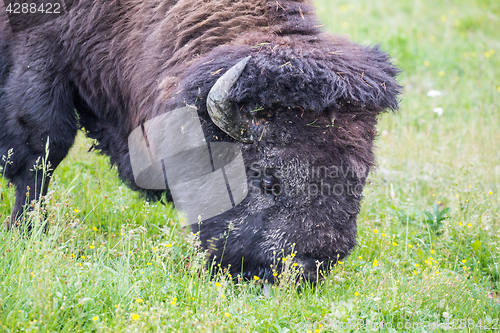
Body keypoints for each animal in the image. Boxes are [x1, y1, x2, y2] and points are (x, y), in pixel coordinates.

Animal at [0, 0, 398, 280]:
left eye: (360, 179)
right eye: (267, 179)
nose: (308, 267)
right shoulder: (40, 61)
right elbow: (42, 152)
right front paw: (27, 231)